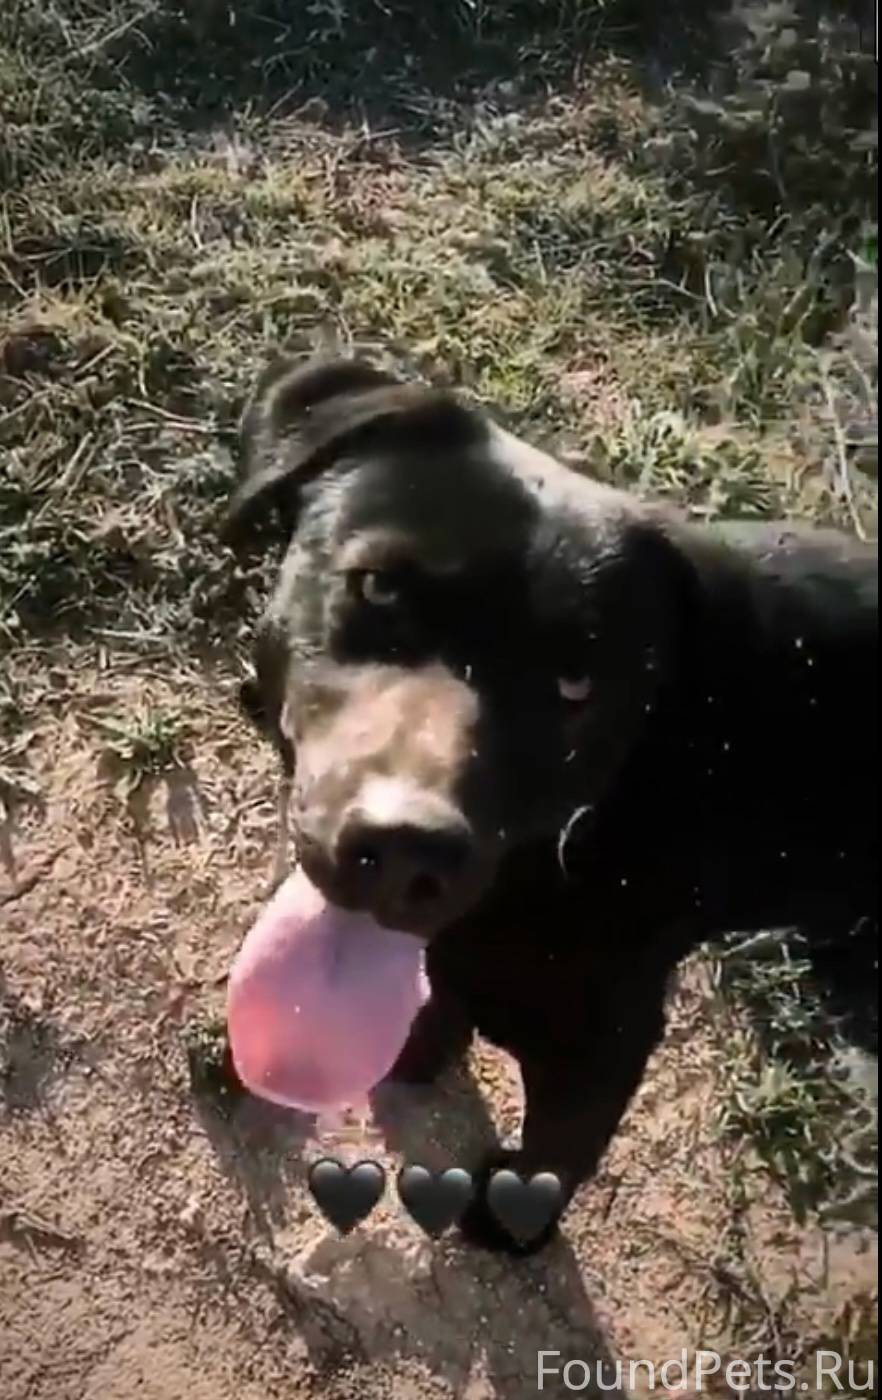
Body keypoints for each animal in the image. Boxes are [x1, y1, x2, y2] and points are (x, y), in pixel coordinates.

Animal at [221, 354, 878, 1254]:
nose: (407, 848)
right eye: (379, 588)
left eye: (576, 686)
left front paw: (508, 1223)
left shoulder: (604, 1039)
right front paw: (419, 1044)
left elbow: (556, 1154)